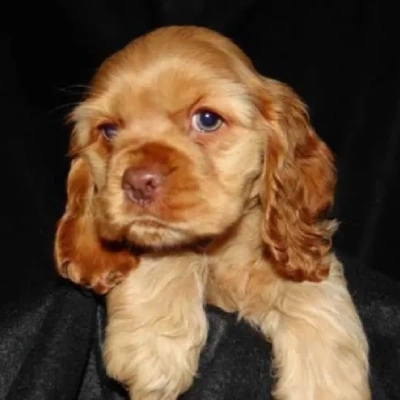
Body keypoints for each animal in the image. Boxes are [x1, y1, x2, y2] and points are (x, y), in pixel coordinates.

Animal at [54, 26, 372, 398]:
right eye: (108, 131)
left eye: (207, 120)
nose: (138, 182)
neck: (222, 250)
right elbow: (169, 251)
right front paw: (154, 347)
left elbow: (314, 292)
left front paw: (328, 386)